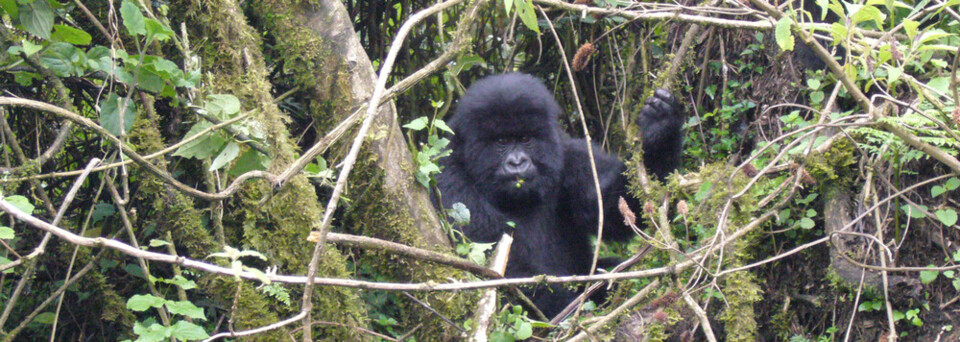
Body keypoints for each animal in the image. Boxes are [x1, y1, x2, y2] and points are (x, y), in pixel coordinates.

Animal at [436, 72, 684, 318]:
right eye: (501, 141)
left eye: (525, 139)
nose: (517, 162)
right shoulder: (449, 178)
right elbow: (491, 258)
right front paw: (567, 307)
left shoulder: (570, 154)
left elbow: (612, 210)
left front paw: (660, 131)